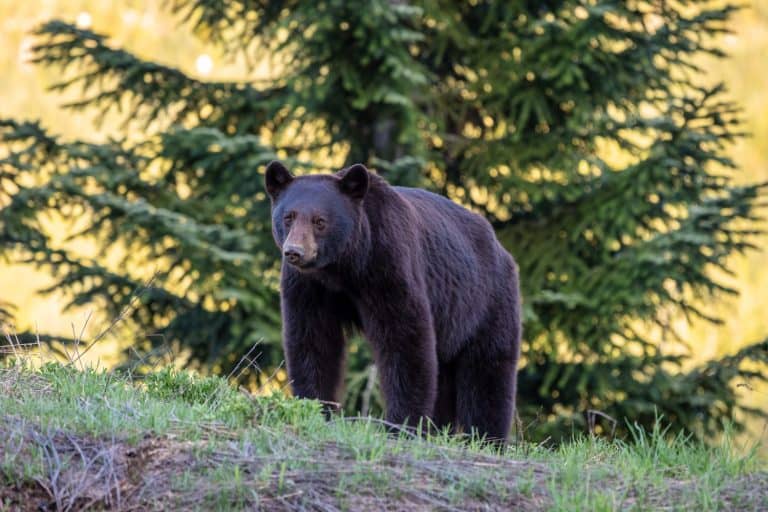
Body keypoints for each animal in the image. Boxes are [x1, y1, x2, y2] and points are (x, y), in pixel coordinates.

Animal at [265, 161, 522, 442]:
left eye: (320, 221)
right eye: (288, 217)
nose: (294, 252)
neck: (342, 268)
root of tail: (503, 250)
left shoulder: (388, 265)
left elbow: (404, 339)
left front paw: (402, 424)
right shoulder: (309, 288)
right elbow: (313, 342)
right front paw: (315, 408)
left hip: (486, 302)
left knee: (488, 369)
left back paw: (488, 437)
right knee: (444, 375)